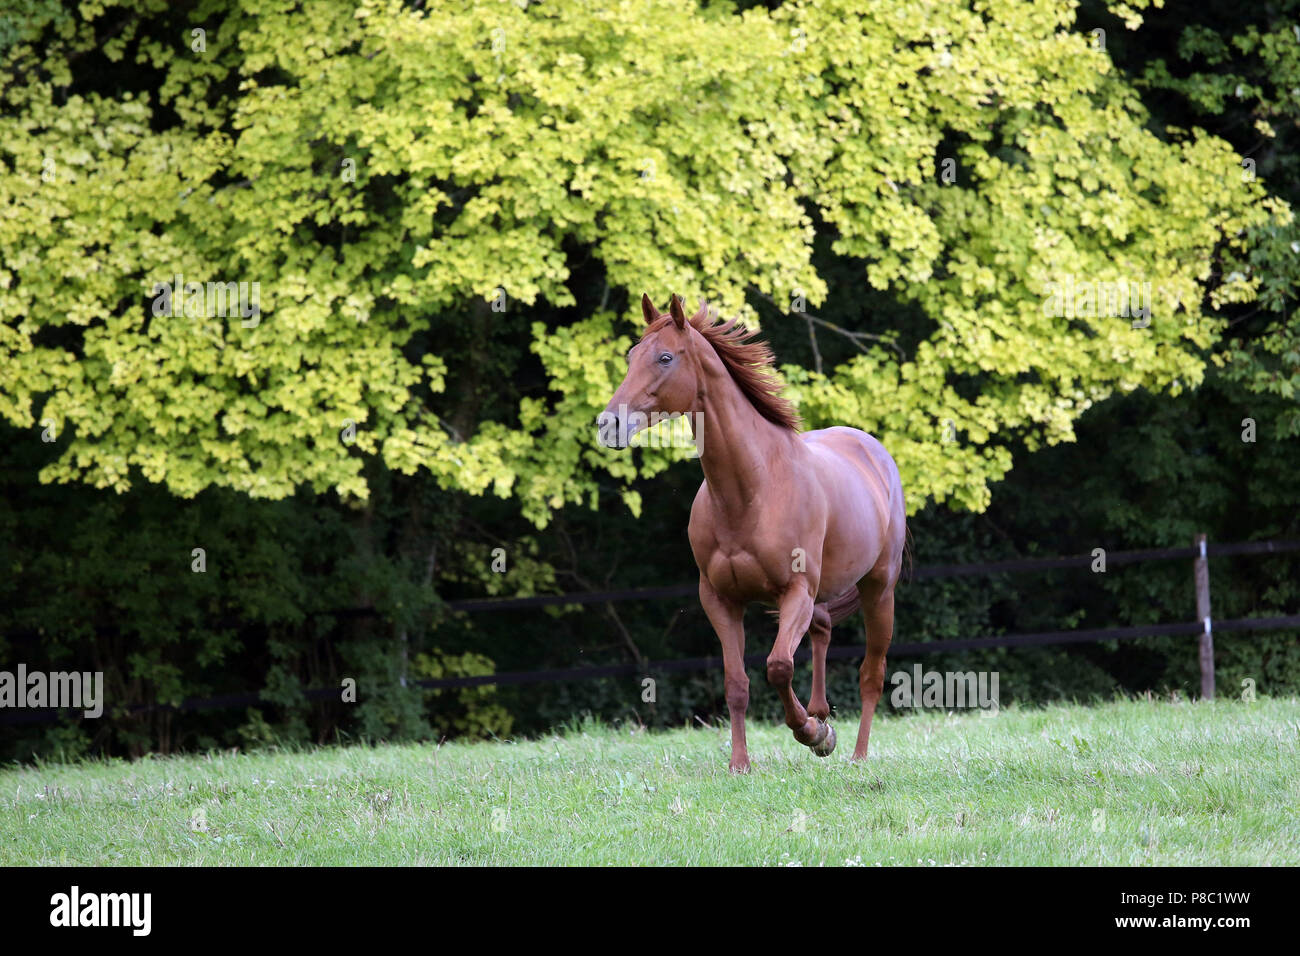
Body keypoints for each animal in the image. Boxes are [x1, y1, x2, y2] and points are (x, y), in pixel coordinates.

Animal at [598, 293, 907, 773]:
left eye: (665, 357)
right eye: (632, 356)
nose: (608, 423)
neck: (752, 490)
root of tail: (873, 451)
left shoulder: (795, 591)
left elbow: (778, 666)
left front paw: (812, 735)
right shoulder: (720, 599)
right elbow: (736, 682)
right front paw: (740, 763)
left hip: (879, 590)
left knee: (870, 674)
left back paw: (855, 754)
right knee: (822, 632)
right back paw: (821, 715)